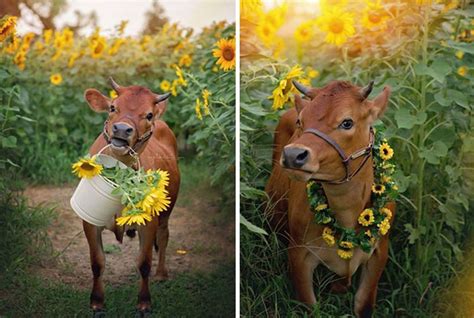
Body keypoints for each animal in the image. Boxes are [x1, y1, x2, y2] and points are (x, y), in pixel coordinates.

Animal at [83, 79, 180, 316]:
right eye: (112, 107)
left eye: (148, 115)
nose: (121, 129)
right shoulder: (89, 221)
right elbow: (97, 262)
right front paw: (97, 301)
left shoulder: (149, 222)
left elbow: (144, 263)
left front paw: (144, 302)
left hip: (167, 209)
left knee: (164, 237)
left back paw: (161, 273)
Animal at [266, 80, 392, 318]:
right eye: (301, 121)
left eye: (347, 122)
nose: (293, 155)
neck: (347, 216)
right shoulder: (298, 253)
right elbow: (309, 307)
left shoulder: (380, 250)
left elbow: (364, 305)